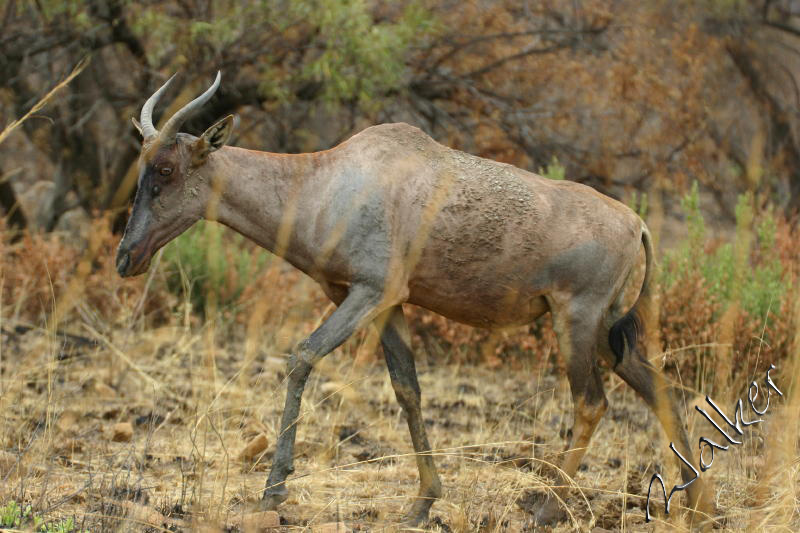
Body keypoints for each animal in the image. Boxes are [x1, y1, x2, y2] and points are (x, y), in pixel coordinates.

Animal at [115, 72, 708, 524]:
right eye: (143, 168)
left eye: (166, 169)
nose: (127, 258)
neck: (327, 180)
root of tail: (637, 223)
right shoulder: (387, 305)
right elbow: (408, 390)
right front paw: (422, 502)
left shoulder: (369, 292)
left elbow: (301, 356)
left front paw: (273, 491)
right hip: (608, 329)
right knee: (656, 386)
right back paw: (698, 505)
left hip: (576, 321)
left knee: (592, 402)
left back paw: (547, 509)